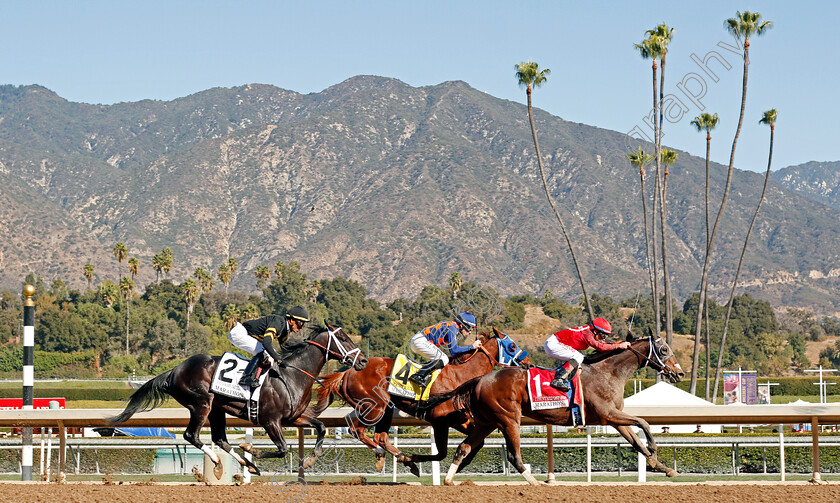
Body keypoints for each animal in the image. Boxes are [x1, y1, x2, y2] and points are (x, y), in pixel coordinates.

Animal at [109, 324, 368, 478]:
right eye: (343, 337)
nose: (364, 361)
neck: (291, 375)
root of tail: (174, 371)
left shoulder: (293, 418)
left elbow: (321, 427)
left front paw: (310, 460)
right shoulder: (270, 421)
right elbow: (283, 449)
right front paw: (251, 449)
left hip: (216, 409)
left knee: (220, 439)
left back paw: (245, 465)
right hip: (202, 404)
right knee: (191, 436)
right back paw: (220, 461)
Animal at [312, 326, 536, 476]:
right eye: (512, 345)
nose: (529, 363)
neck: (462, 374)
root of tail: (348, 371)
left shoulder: (461, 420)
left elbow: (476, 444)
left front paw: (457, 468)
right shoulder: (440, 420)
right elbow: (442, 453)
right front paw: (420, 460)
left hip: (385, 409)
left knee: (380, 437)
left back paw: (403, 460)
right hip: (374, 407)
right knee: (356, 430)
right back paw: (384, 457)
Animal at [436, 334, 684, 484]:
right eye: (664, 349)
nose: (680, 373)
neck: (608, 372)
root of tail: (480, 379)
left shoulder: (613, 419)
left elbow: (636, 442)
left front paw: (662, 466)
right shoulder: (607, 414)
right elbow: (643, 422)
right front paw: (654, 451)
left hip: (487, 422)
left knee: (463, 448)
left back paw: (449, 480)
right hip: (509, 420)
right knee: (514, 456)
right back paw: (535, 483)